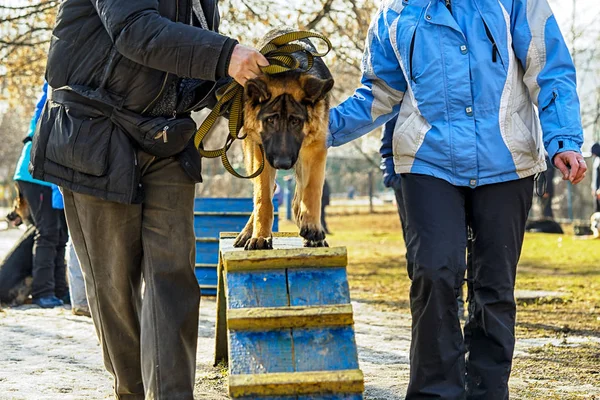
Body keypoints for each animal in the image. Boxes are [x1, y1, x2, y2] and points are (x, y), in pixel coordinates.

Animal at [234, 30, 336, 250]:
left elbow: (312, 189)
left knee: (298, 194)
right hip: (251, 155)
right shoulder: (261, 152)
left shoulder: (316, 148)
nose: (282, 164)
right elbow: (263, 197)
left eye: (295, 121)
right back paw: (247, 232)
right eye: (271, 120)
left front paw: (312, 227)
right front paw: (260, 236)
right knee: (267, 189)